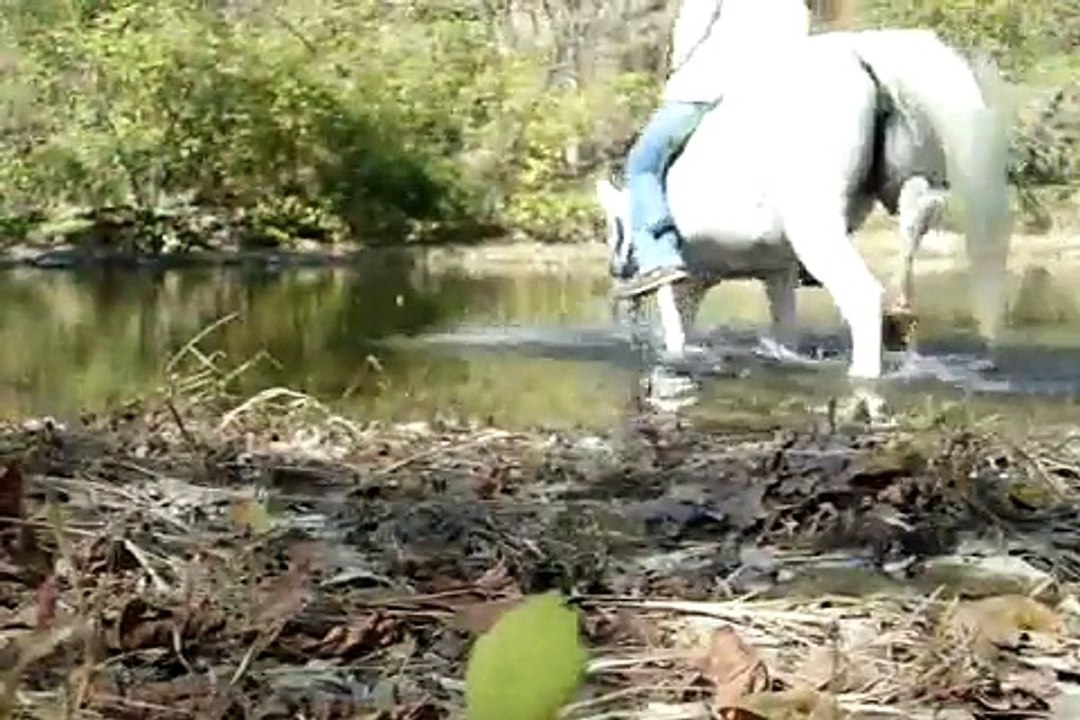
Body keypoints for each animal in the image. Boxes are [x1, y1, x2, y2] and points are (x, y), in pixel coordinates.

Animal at [595, 28, 1014, 380]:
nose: (617, 272)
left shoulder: (682, 282)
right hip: (910, 174)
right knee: (919, 212)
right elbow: (783, 334)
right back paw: (900, 310)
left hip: (817, 230)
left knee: (863, 298)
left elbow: (677, 339)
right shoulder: (776, 275)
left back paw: (864, 370)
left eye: (612, 229)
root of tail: (860, 55)